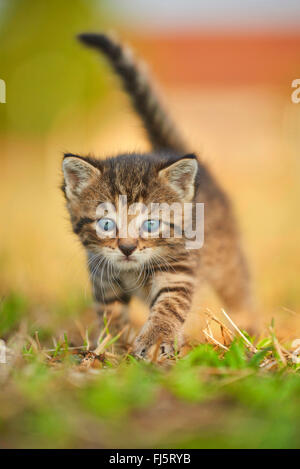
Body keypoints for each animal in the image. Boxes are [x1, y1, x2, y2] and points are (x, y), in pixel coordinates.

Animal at [62, 33, 254, 358]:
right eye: (105, 224)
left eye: (151, 224)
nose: (127, 248)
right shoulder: (102, 273)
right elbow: (110, 311)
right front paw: (111, 346)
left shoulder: (180, 269)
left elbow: (168, 306)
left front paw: (154, 341)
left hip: (226, 261)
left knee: (238, 290)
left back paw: (247, 329)